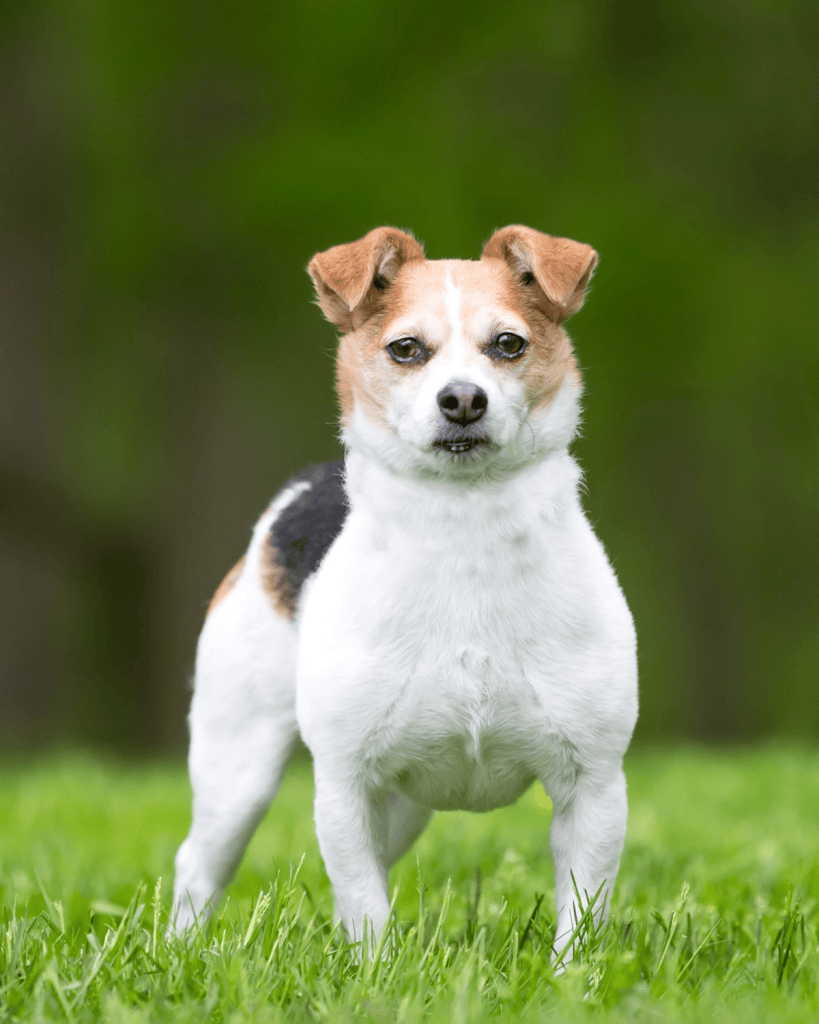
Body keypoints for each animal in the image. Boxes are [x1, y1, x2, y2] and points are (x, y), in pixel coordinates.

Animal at [169, 226, 634, 958]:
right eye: (406, 349)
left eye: (509, 344)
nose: (462, 399)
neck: (465, 531)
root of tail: (308, 483)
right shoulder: (345, 785)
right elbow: (365, 909)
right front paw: (375, 971)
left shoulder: (593, 787)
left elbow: (580, 916)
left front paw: (571, 976)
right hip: (237, 767)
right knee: (200, 864)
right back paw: (183, 951)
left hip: (400, 809)